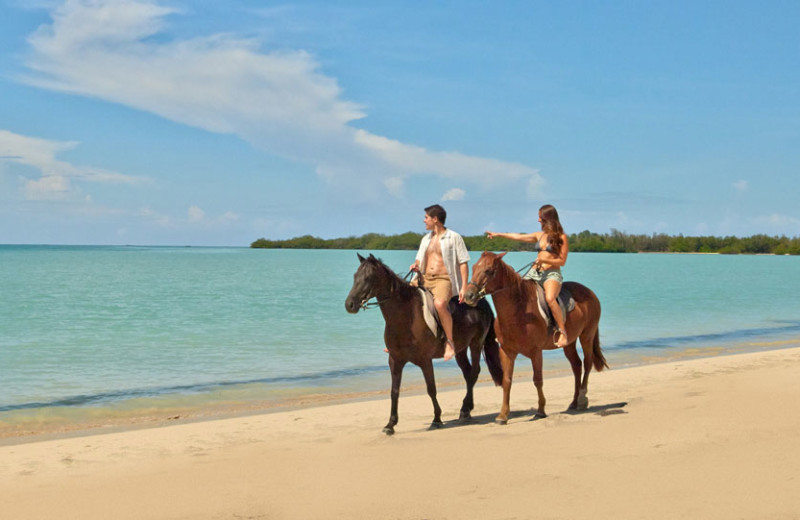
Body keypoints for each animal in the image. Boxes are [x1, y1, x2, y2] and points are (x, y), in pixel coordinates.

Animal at [344, 254, 500, 432]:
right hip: (460, 350)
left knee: (474, 372)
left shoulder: (425, 360)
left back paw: (465, 408)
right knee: (468, 374)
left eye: (368, 278)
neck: (405, 317)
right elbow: (394, 391)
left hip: (475, 344)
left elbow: (431, 389)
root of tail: (482, 302)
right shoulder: (395, 360)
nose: (349, 304)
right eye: (355, 276)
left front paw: (437, 419)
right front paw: (390, 424)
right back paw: (465, 411)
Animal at [462, 250, 608, 424]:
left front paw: (540, 411)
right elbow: (507, 381)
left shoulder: (536, 352)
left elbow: (537, 380)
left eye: (488, 271)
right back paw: (573, 402)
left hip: (587, 336)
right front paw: (503, 415)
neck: (519, 310)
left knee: (587, 363)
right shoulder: (507, 352)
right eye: (474, 268)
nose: (469, 295)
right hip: (569, 343)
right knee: (576, 366)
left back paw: (582, 399)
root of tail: (590, 293)